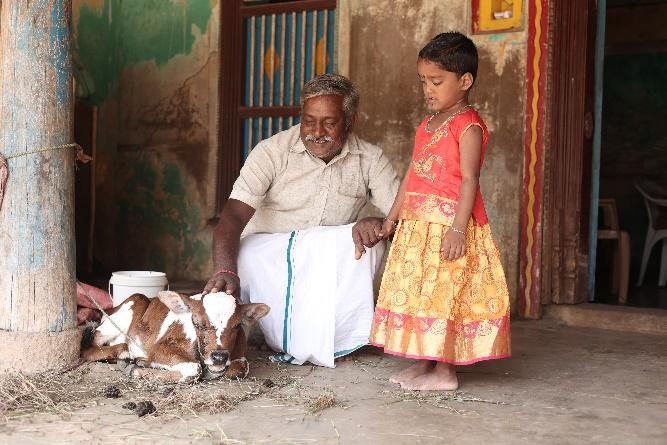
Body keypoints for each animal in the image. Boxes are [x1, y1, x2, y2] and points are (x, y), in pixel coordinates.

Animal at [82, 290, 270, 380]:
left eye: (238, 325)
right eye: (196, 322)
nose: (219, 357)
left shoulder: (239, 355)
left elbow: (239, 369)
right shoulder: (159, 348)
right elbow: (194, 368)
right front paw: (138, 371)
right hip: (129, 307)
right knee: (89, 348)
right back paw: (123, 352)